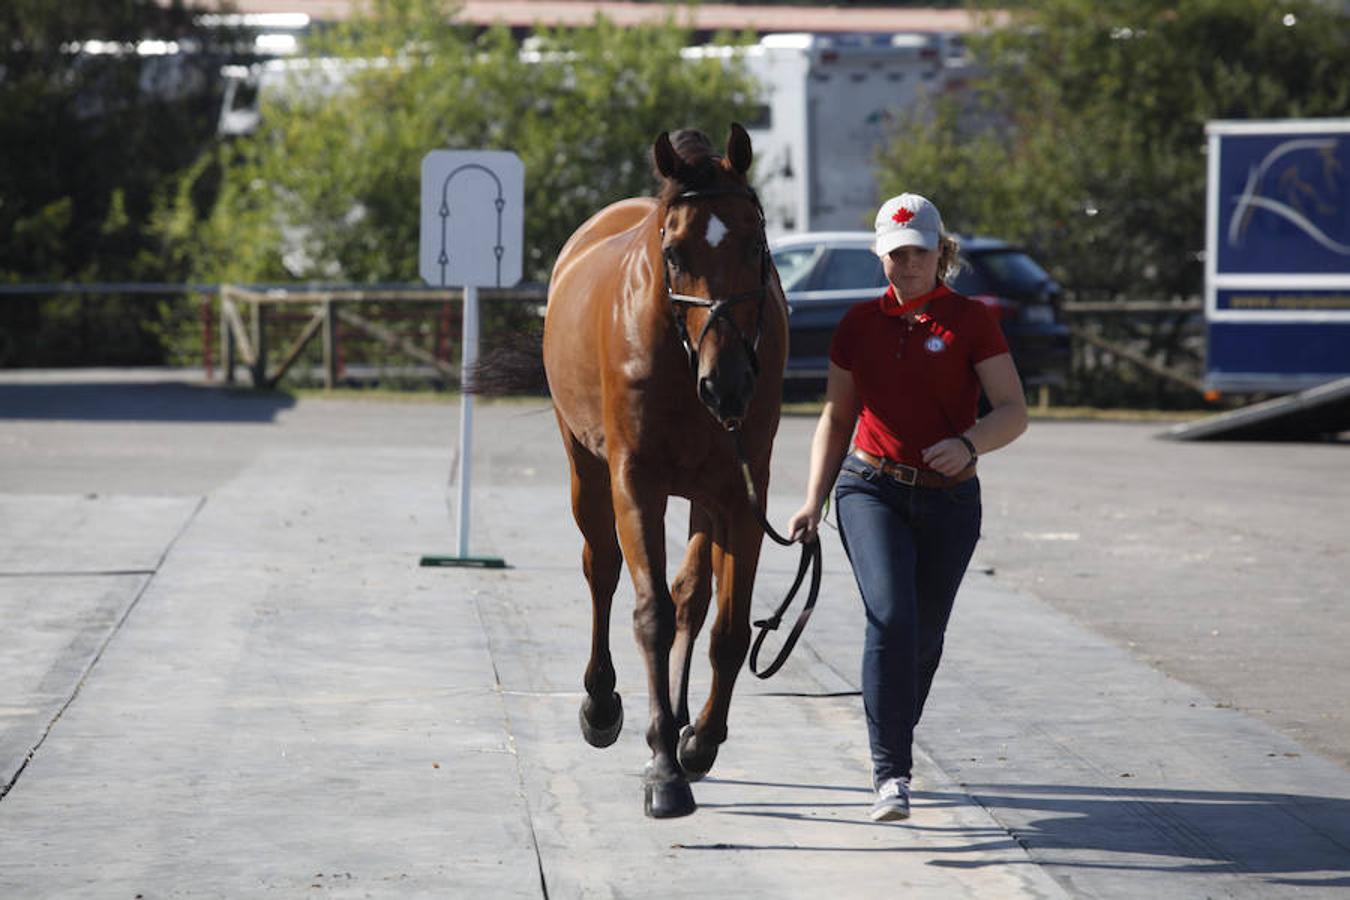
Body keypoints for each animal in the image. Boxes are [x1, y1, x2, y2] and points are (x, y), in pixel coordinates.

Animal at [540, 123, 788, 820]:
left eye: (756, 243)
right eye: (674, 253)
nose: (728, 384)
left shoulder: (741, 493)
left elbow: (727, 628)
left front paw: (697, 741)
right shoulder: (636, 485)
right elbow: (648, 612)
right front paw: (663, 771)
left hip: (702, 493)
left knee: (692, 599)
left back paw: (681, 725)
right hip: (586, 470)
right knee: (602, 569)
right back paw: (601, 703)